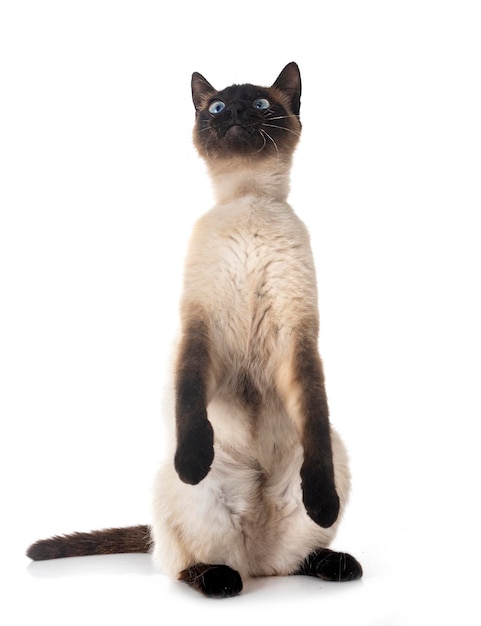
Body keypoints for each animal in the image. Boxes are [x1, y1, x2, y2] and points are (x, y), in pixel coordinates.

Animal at [26, 62, 362, 596]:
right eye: (219, 107)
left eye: (261, 105)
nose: (238, 111)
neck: (248, 199)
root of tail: (255, 559)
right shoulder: (200, 330)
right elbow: (189, 398)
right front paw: (193, 459)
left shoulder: (299, 339)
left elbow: (315, 413)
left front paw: (322, 501)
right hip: (182, 493)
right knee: (186, 561)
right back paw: (220, 579)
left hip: (335, 463)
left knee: (292, 559)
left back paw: (335, 563)